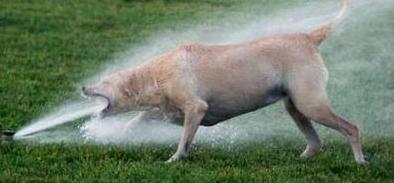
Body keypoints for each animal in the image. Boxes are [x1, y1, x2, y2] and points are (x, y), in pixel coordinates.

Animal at [81, 0, 368, 164]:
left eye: (103, 81)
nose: (83, 87)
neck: (154, 74)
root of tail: (309, 37)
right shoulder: (168, 110)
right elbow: (141, 119)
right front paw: (118, 134)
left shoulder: (195, 108)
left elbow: (184, 139)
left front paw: (174, 159)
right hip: (295, 105)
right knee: (316, 141)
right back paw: (304, 158)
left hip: (311, 104)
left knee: (351, 128)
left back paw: (360, 161)